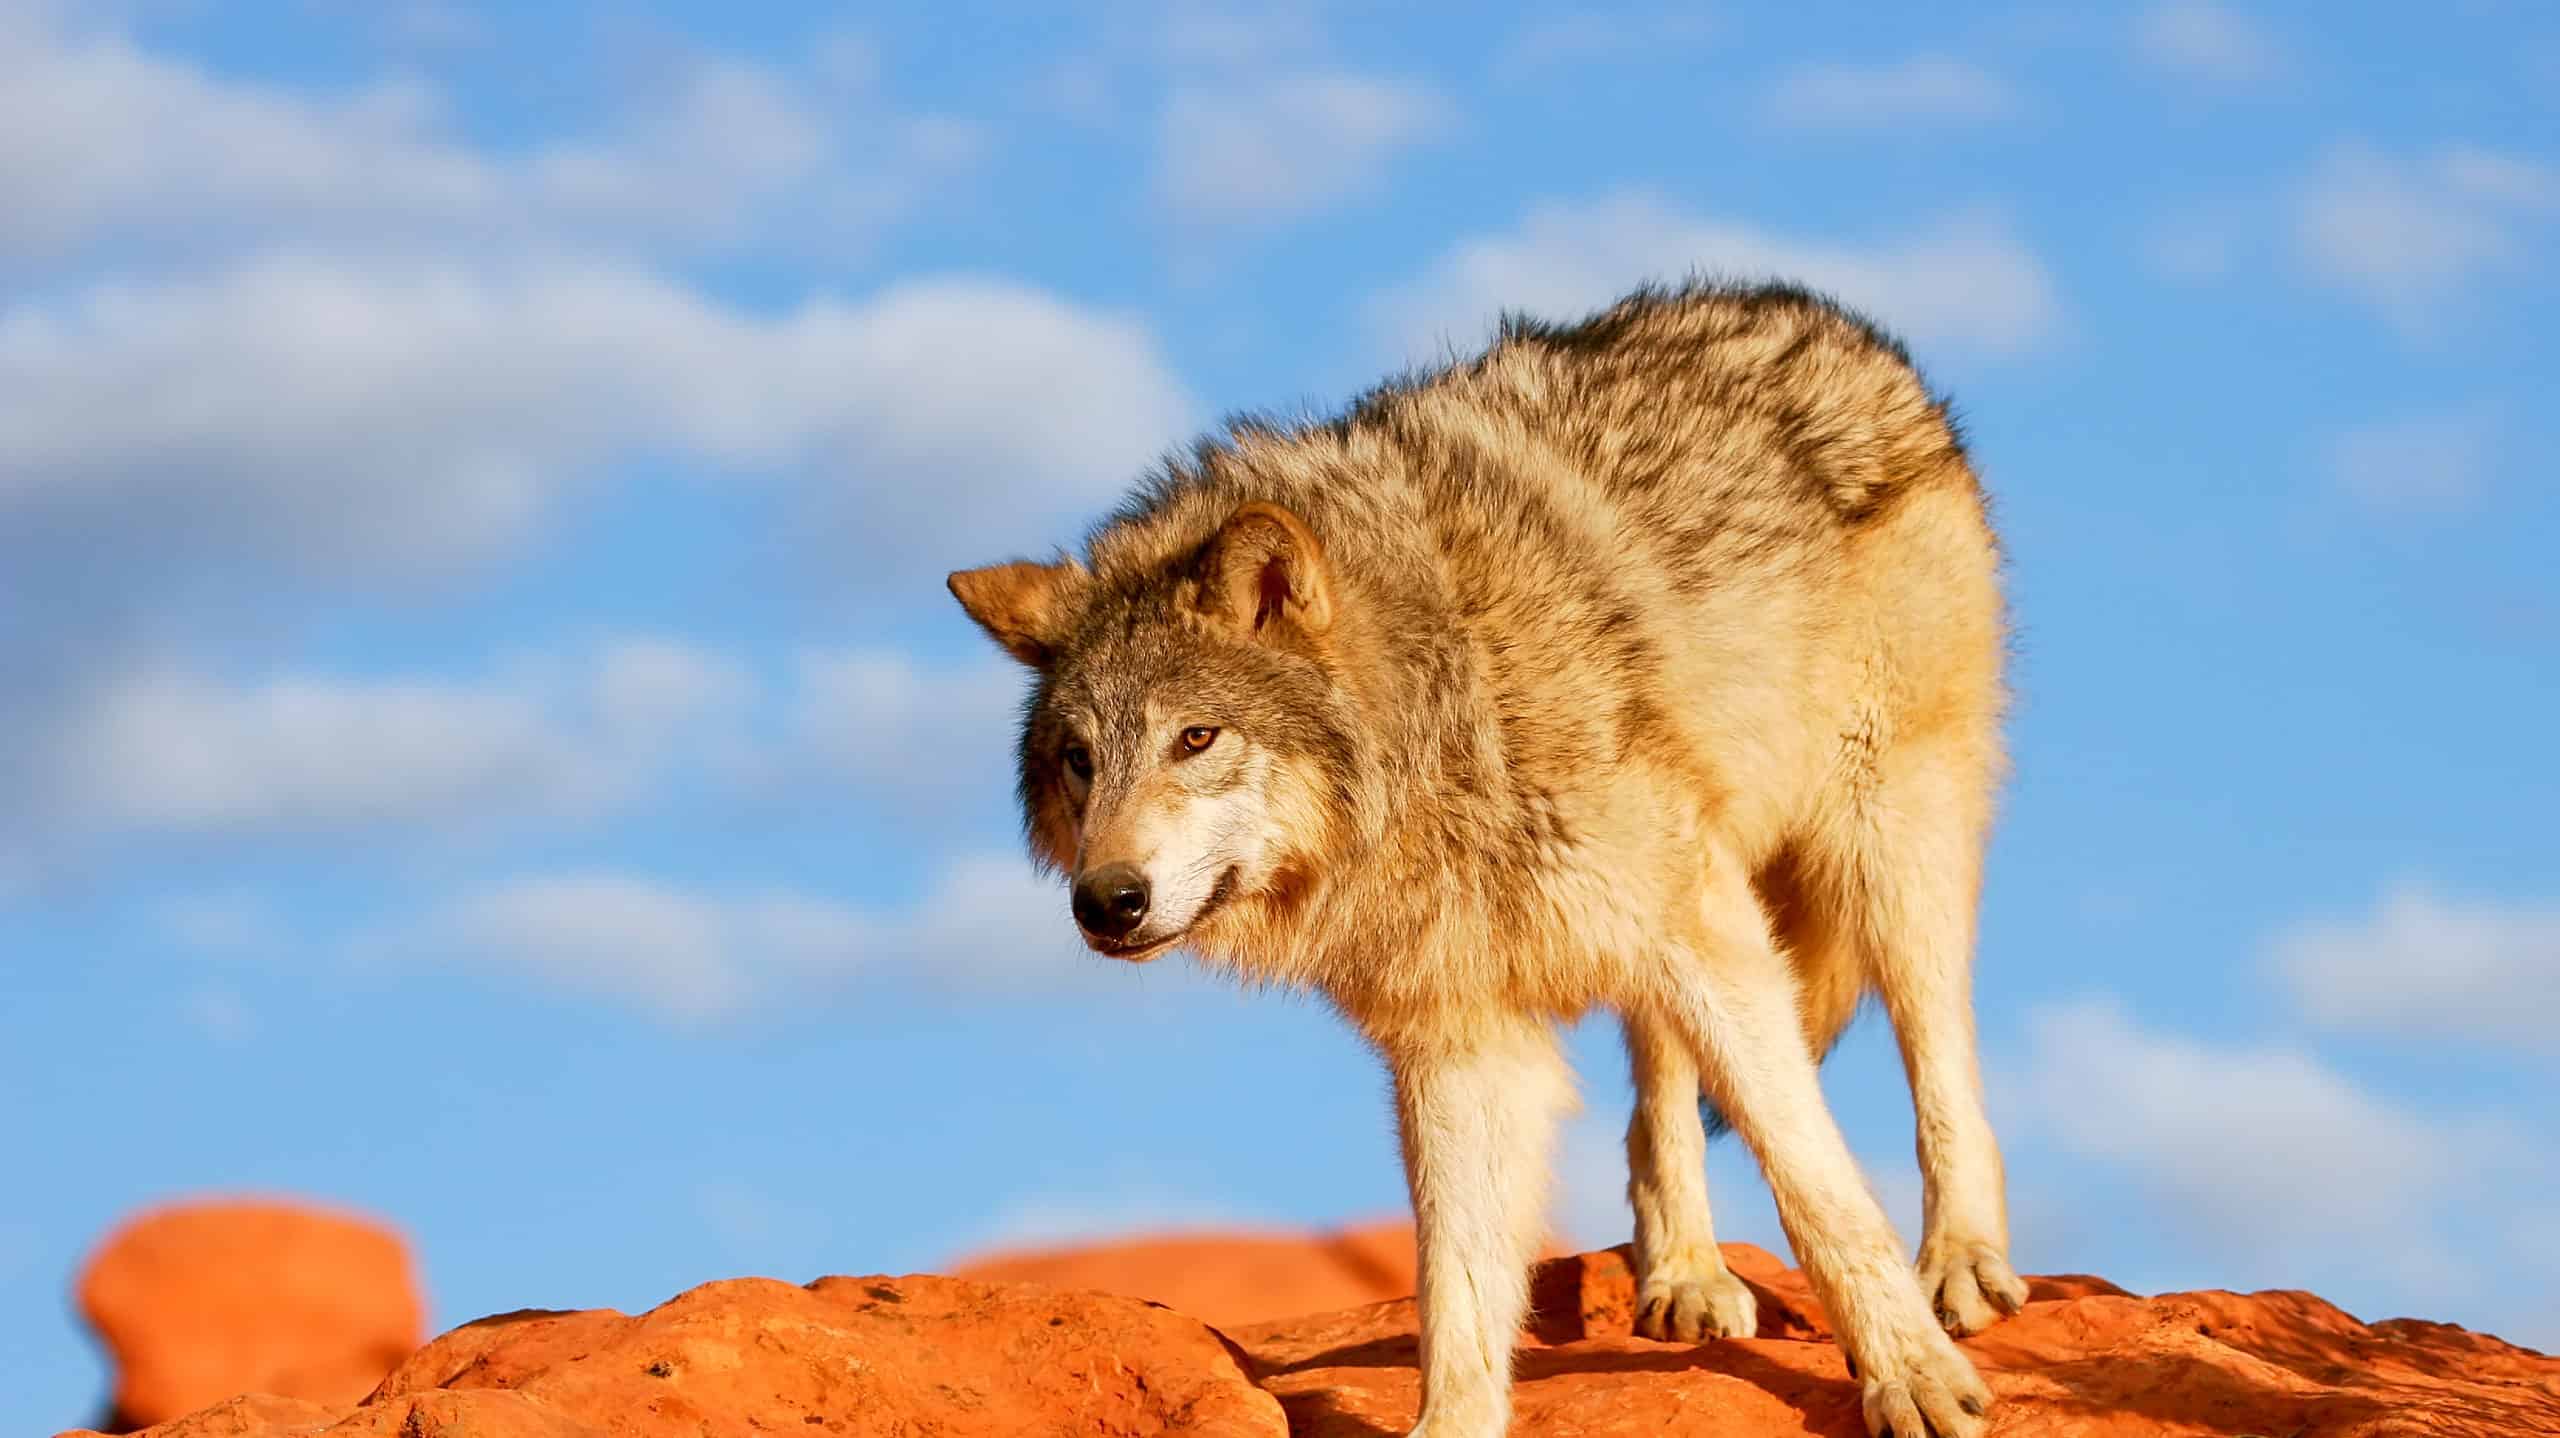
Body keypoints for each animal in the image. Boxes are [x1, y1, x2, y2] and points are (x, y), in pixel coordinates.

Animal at [947, 281, 2027, 1438]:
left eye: (1196, 738)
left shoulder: (1700, 938)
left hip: (1884, 844)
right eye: (1078, 759)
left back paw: (1961, 1262)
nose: (1105, 901)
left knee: (1938, 1049)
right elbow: (1453, 1280)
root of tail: (1823, 318)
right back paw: (1684, 1273)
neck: (1452, 706)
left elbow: (1816, 1183)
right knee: (1656, 1102)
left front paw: (1908, 1374)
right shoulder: (1460, 1034)